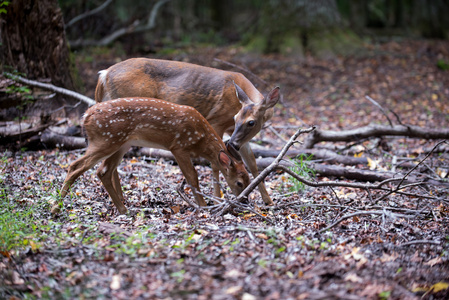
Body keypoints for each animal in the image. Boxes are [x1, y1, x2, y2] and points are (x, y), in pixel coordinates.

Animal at [59, 97, 248, 214]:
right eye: (239, 182)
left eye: (248, 179)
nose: (245, 201)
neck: (200, 141)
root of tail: (85, 116)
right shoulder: (178, 147)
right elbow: (192, 177)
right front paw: (203, 206)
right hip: (105, 140)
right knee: (76, 166)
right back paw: (56, 206)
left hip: (121, 144)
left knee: (103, 171)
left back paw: (123, 209)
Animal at [95, 57, 278, 205]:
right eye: (236, 118)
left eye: (250, 122)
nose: (232, 143)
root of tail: (104, 75)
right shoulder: (216, 121)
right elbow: (215, 163)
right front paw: (217, 199)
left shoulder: (238, 137)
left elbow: (252, 164)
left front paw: (268, 201)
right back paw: (120, 198)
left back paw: (120, 197)